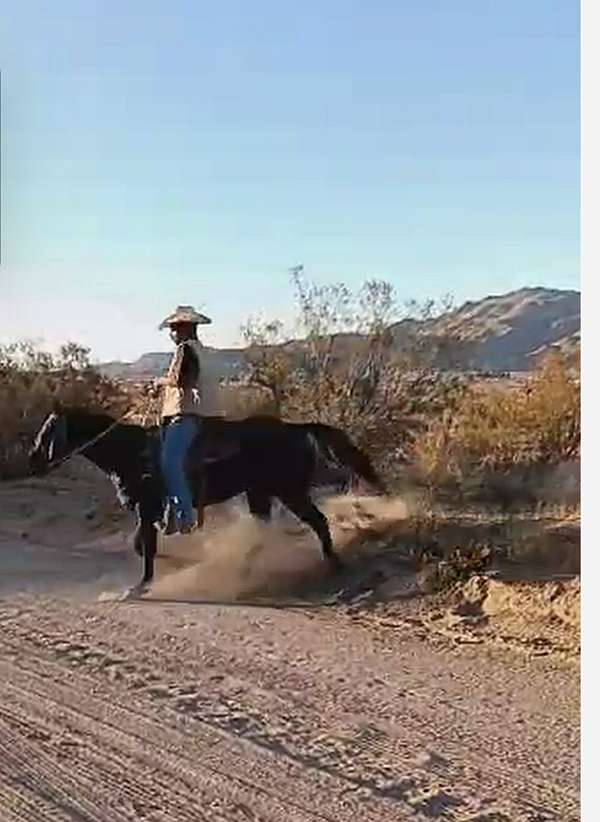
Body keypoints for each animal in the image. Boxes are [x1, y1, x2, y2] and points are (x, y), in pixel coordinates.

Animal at [29, 408, 384, 592]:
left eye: (48, 432)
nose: (32, 461)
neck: (130, 452)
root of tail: (296, 429)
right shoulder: (149, 513)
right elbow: (141, 545)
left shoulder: (146, 510)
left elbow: (146, 547)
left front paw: (141, 586)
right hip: (261, 493)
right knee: (264, 530)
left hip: (288, 491)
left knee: (317, 522)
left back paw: (333, 565)